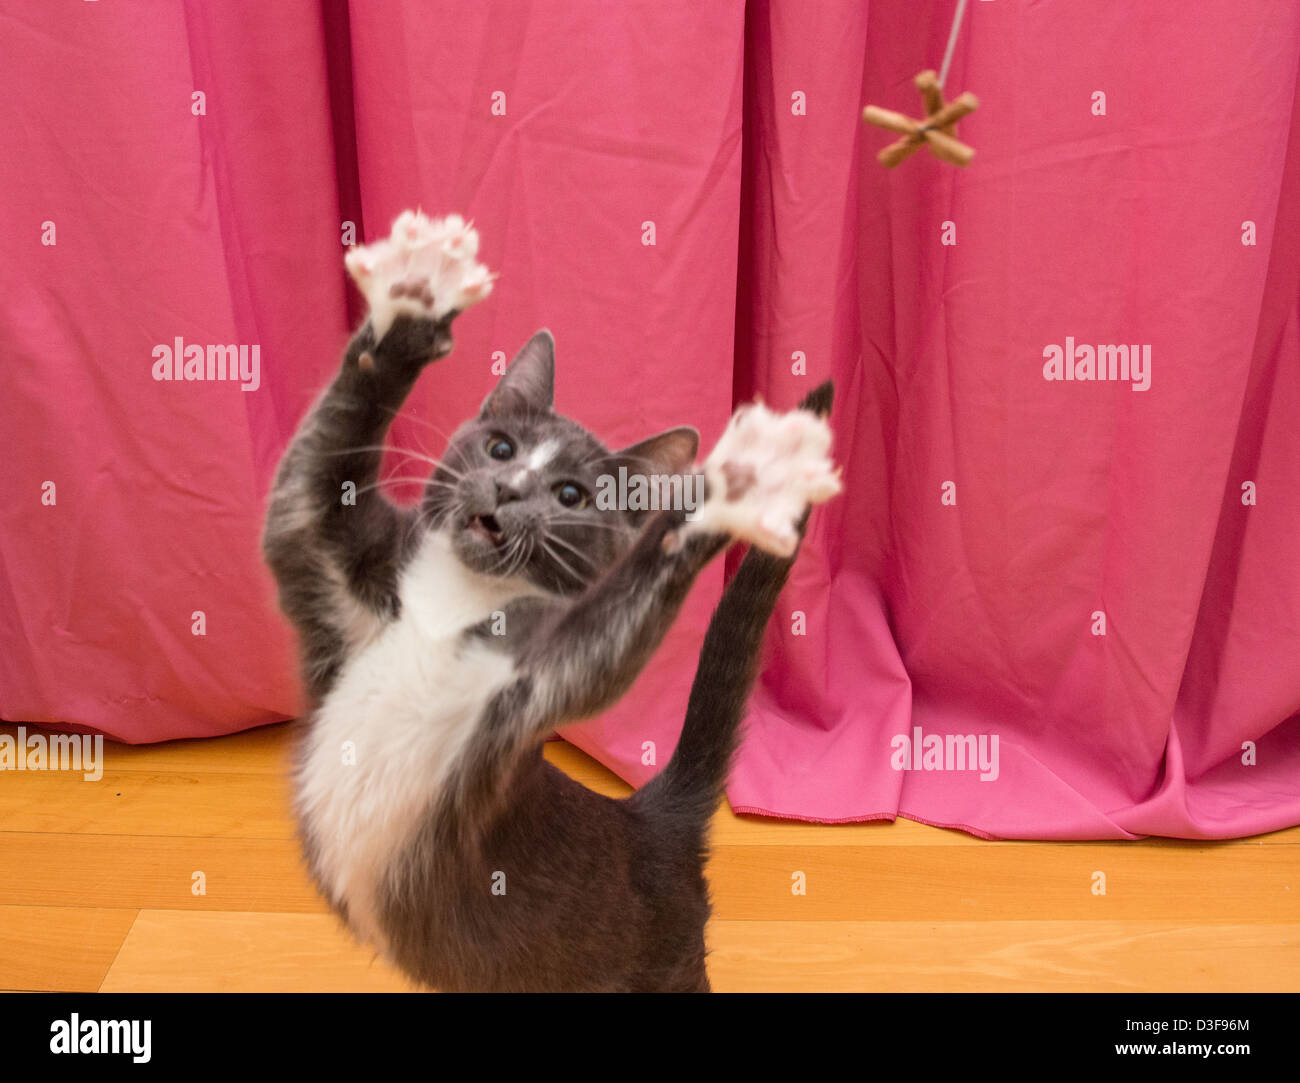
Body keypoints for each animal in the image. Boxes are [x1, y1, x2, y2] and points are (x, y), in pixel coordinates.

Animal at [266, 296, 832, 988]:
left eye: (570, 495)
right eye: (500, 447)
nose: (507, 489)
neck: (454, 600)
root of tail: (649, 819)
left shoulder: (536, 683)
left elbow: (610, 632)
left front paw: (721, 493)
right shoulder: (340, 579)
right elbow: (309, 479)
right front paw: (412, 315)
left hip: (666, 968)